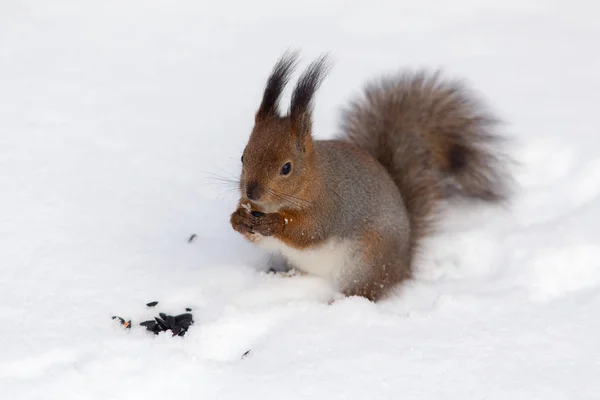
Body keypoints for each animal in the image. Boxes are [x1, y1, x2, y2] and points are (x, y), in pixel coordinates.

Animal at [230, 50, 510, 300]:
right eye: (243, 156)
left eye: (286, 168)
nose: (251, 192)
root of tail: (403, 264)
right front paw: (237, 219)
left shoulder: (330, 206)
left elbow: (309, 231)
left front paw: (275, 223)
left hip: (367, 262)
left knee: (366, 291)